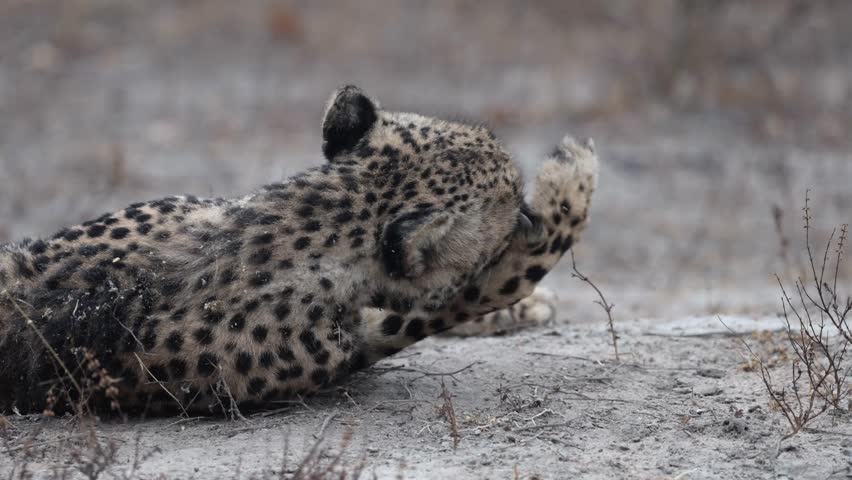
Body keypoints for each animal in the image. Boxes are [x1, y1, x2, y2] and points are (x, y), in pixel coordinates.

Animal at [0, 85, 598, 415]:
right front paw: (569, 189)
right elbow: (468, 295)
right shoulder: (353, 351)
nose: (526, 211)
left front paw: (531, 307)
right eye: (512, 204)